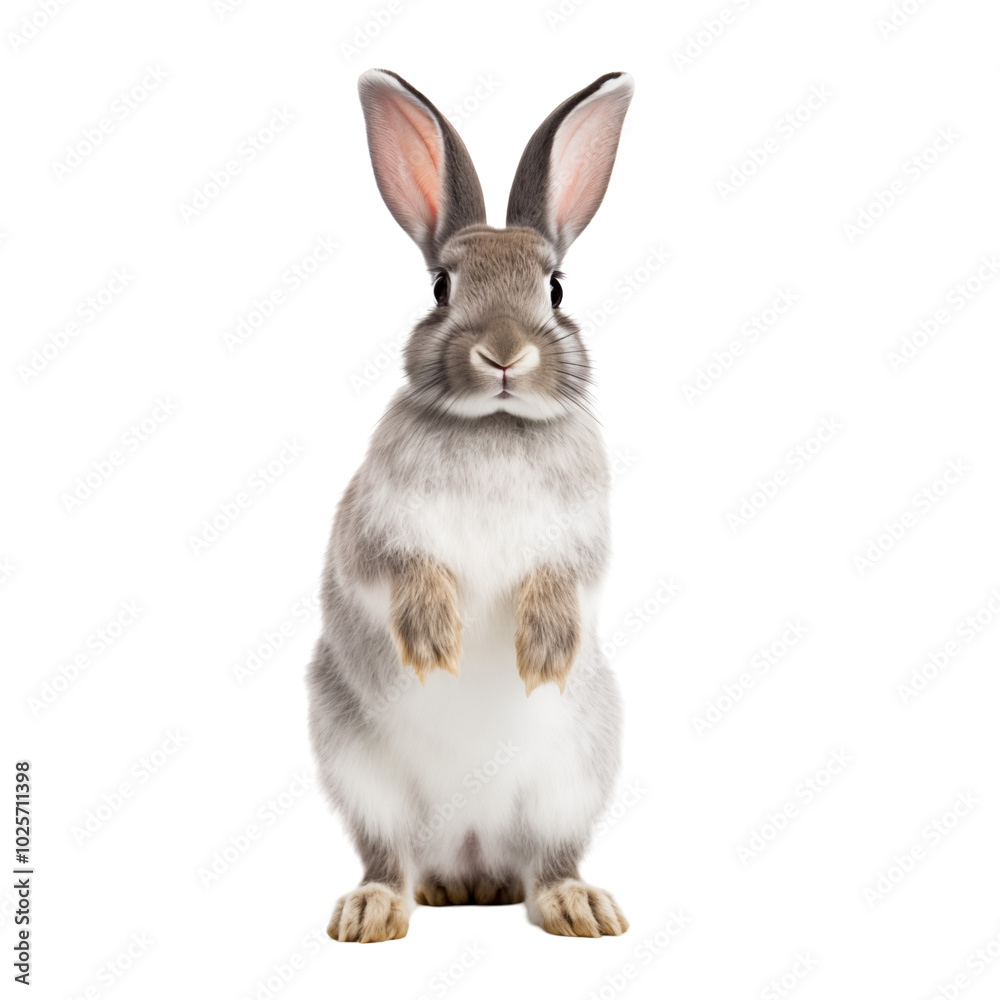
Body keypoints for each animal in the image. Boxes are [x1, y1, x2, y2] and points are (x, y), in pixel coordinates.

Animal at [308, 67, 634, 942]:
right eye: (441, 287)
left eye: (555, 287)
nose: (503, 354)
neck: (493, 426)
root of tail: (470, 848)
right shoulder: (374, 534)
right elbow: (397, 569)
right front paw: (435, 638)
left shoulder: (581, 544)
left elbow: (565, 581)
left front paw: (542, 651)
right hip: (362, 777)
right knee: (388, 859)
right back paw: (375, 911)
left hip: (569, 784)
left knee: (548, 862)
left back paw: (578, 906)